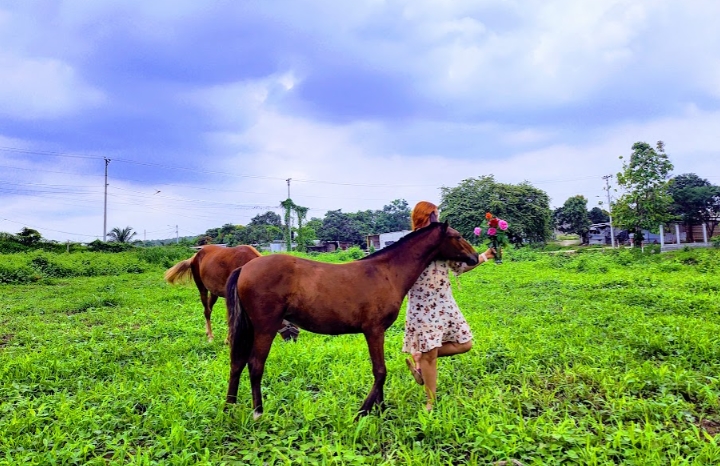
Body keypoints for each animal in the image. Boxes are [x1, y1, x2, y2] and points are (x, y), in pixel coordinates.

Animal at [164, 244, 299, 342]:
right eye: (290, 322)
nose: (295, 338)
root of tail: (194, 256)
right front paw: (229, 340)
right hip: (202, 288)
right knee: (206, 311)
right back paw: (210, 336)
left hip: (214, 292)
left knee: (209, 309)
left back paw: (207, 332)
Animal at [224, 221, 478, 419]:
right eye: (457, 236)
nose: (474, 257)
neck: (387, 272)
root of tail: (244, 268)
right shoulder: (374, 330)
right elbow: (380, 371)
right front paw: (364, 411)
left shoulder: (377, 332)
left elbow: (380, 370)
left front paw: (381, 409)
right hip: (265, 328)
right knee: (255, 365)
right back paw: (258, 412)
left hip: (249, 328)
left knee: (237, 362)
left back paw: (230, 407)